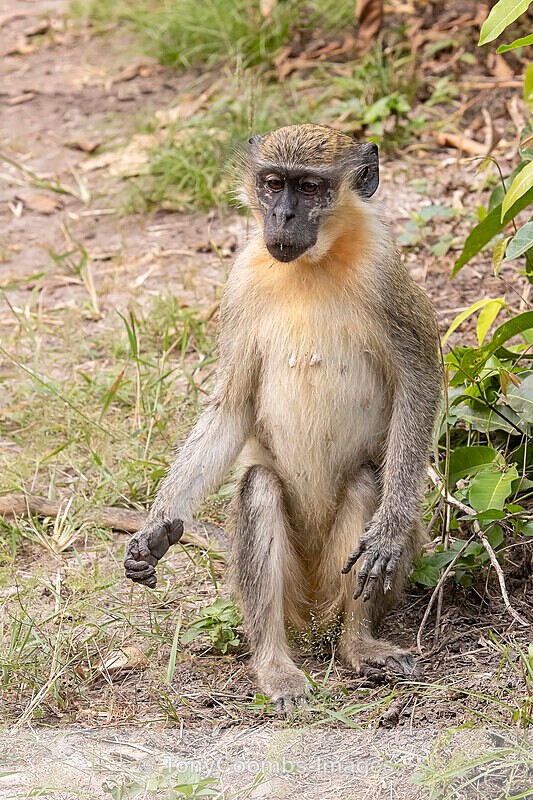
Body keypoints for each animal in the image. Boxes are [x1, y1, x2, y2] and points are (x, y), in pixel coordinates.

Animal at [124, 124, 441, 712]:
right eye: (274, 184)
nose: (283, 217)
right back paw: (275, 665)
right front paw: (156, 526)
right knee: (259, 488)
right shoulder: (241, 279)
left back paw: (358, 643)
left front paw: (386, 534)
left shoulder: (386, 271)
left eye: (310, 188)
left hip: (345, 572)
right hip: (291, 583)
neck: (312, 265)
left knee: (366, 483)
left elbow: (420, 384)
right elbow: (230, 407)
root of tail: (314, 610)